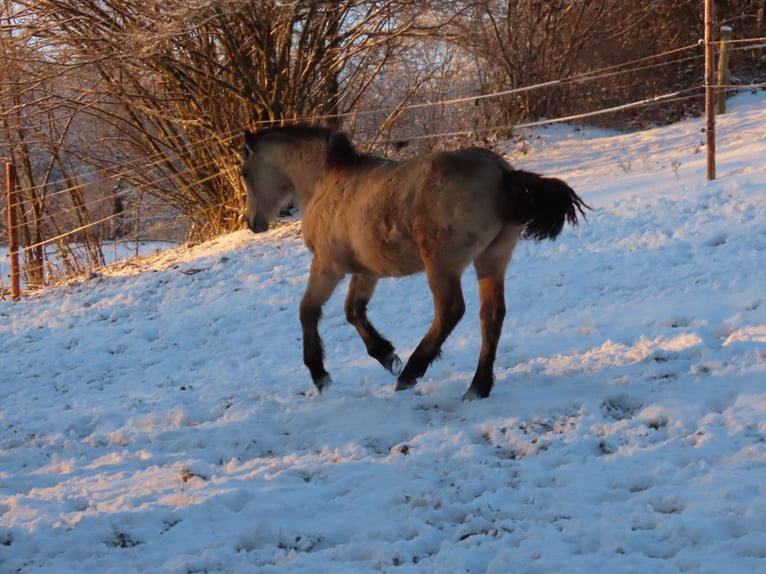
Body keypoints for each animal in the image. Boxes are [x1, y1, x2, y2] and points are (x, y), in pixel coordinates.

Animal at [241, 125, 588, 400]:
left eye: (244, 172)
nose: (252, 223)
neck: (327, 183)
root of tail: (504, 175)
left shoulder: (328, 267)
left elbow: (308, 311)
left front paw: (321, 376)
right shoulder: (366, 271)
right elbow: (353, 311)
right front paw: (386, 355)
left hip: (442, 265)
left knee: (450, 311)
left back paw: (411, 373)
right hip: (492, 259)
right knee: (491, 316)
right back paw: (477, 387)